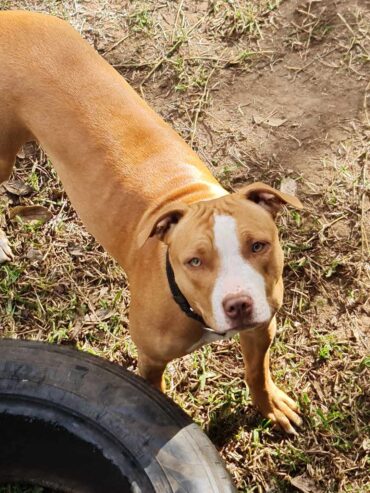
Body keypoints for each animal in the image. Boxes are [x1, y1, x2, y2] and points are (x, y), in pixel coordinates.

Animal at [0, 11, 300, 432]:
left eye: (258, 245)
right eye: (195, 261)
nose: (238, 304)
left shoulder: (261, 329)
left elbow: (257, 372)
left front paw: (269, 405)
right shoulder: (151, 359)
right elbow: (155, 396)